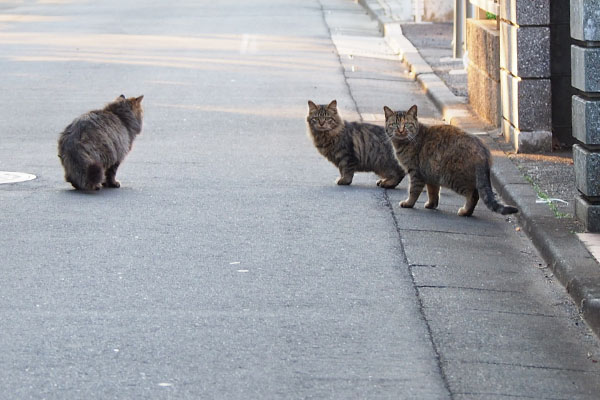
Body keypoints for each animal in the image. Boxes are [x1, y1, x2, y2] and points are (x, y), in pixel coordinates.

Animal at [386, 103, 516, 216]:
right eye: (394, 124)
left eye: (407, 124)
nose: (401, 130)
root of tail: (482, 150)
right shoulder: (431, 175)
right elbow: (433, 192)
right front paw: (431, 204)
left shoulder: (416, 173)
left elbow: (413, 190)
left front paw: (408, 203)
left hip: (455, 178)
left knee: (474, 195)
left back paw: (465, 211)